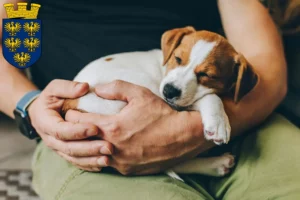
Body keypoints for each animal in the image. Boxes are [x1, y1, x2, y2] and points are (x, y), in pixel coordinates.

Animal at [61, 26, 258, 180]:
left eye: (207, 75)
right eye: (178, 59)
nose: (169, 91)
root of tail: (71, 103)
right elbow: (210, 97)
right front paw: (218, 122)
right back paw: (215, 163)